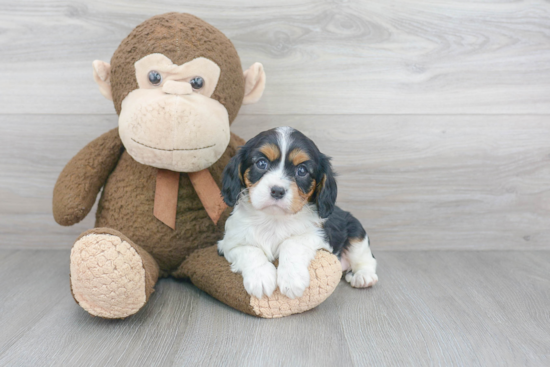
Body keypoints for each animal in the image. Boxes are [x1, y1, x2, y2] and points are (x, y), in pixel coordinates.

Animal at [217, 128, 380, 300]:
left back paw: (363, 276)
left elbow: (291, 243)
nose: (277, 190)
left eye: (302, 170)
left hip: (356, 232)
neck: (274, 219)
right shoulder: (228, 244)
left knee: (367, 259)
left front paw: (291, 279)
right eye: (261, 163)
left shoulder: (318, 235)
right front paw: (260, 278)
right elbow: (250, 250)